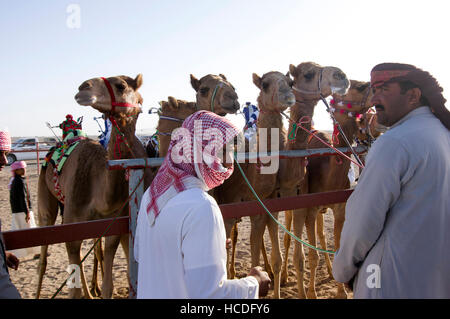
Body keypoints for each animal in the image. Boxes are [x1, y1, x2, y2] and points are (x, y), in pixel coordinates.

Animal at [34, 75, 151, 300]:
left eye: (121, 86)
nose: (83, 87)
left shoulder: (112, 224)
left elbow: (108, 285)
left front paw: (100, 289)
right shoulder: (73, 221)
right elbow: (74, 288)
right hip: (46, 196)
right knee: (44, 256)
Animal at [214, 70, 296, 300]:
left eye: (290, 82)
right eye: (265, 84)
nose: (288, 95)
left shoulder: (268, 204)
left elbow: (274, 258)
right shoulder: (243, 203)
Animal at [278, 63, 352, 300]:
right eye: (308, 74)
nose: (342, 75)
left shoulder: (320, 205)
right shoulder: (300, 205)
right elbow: (303, 253)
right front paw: (308, 292)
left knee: (320, 234)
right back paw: (283, 276)